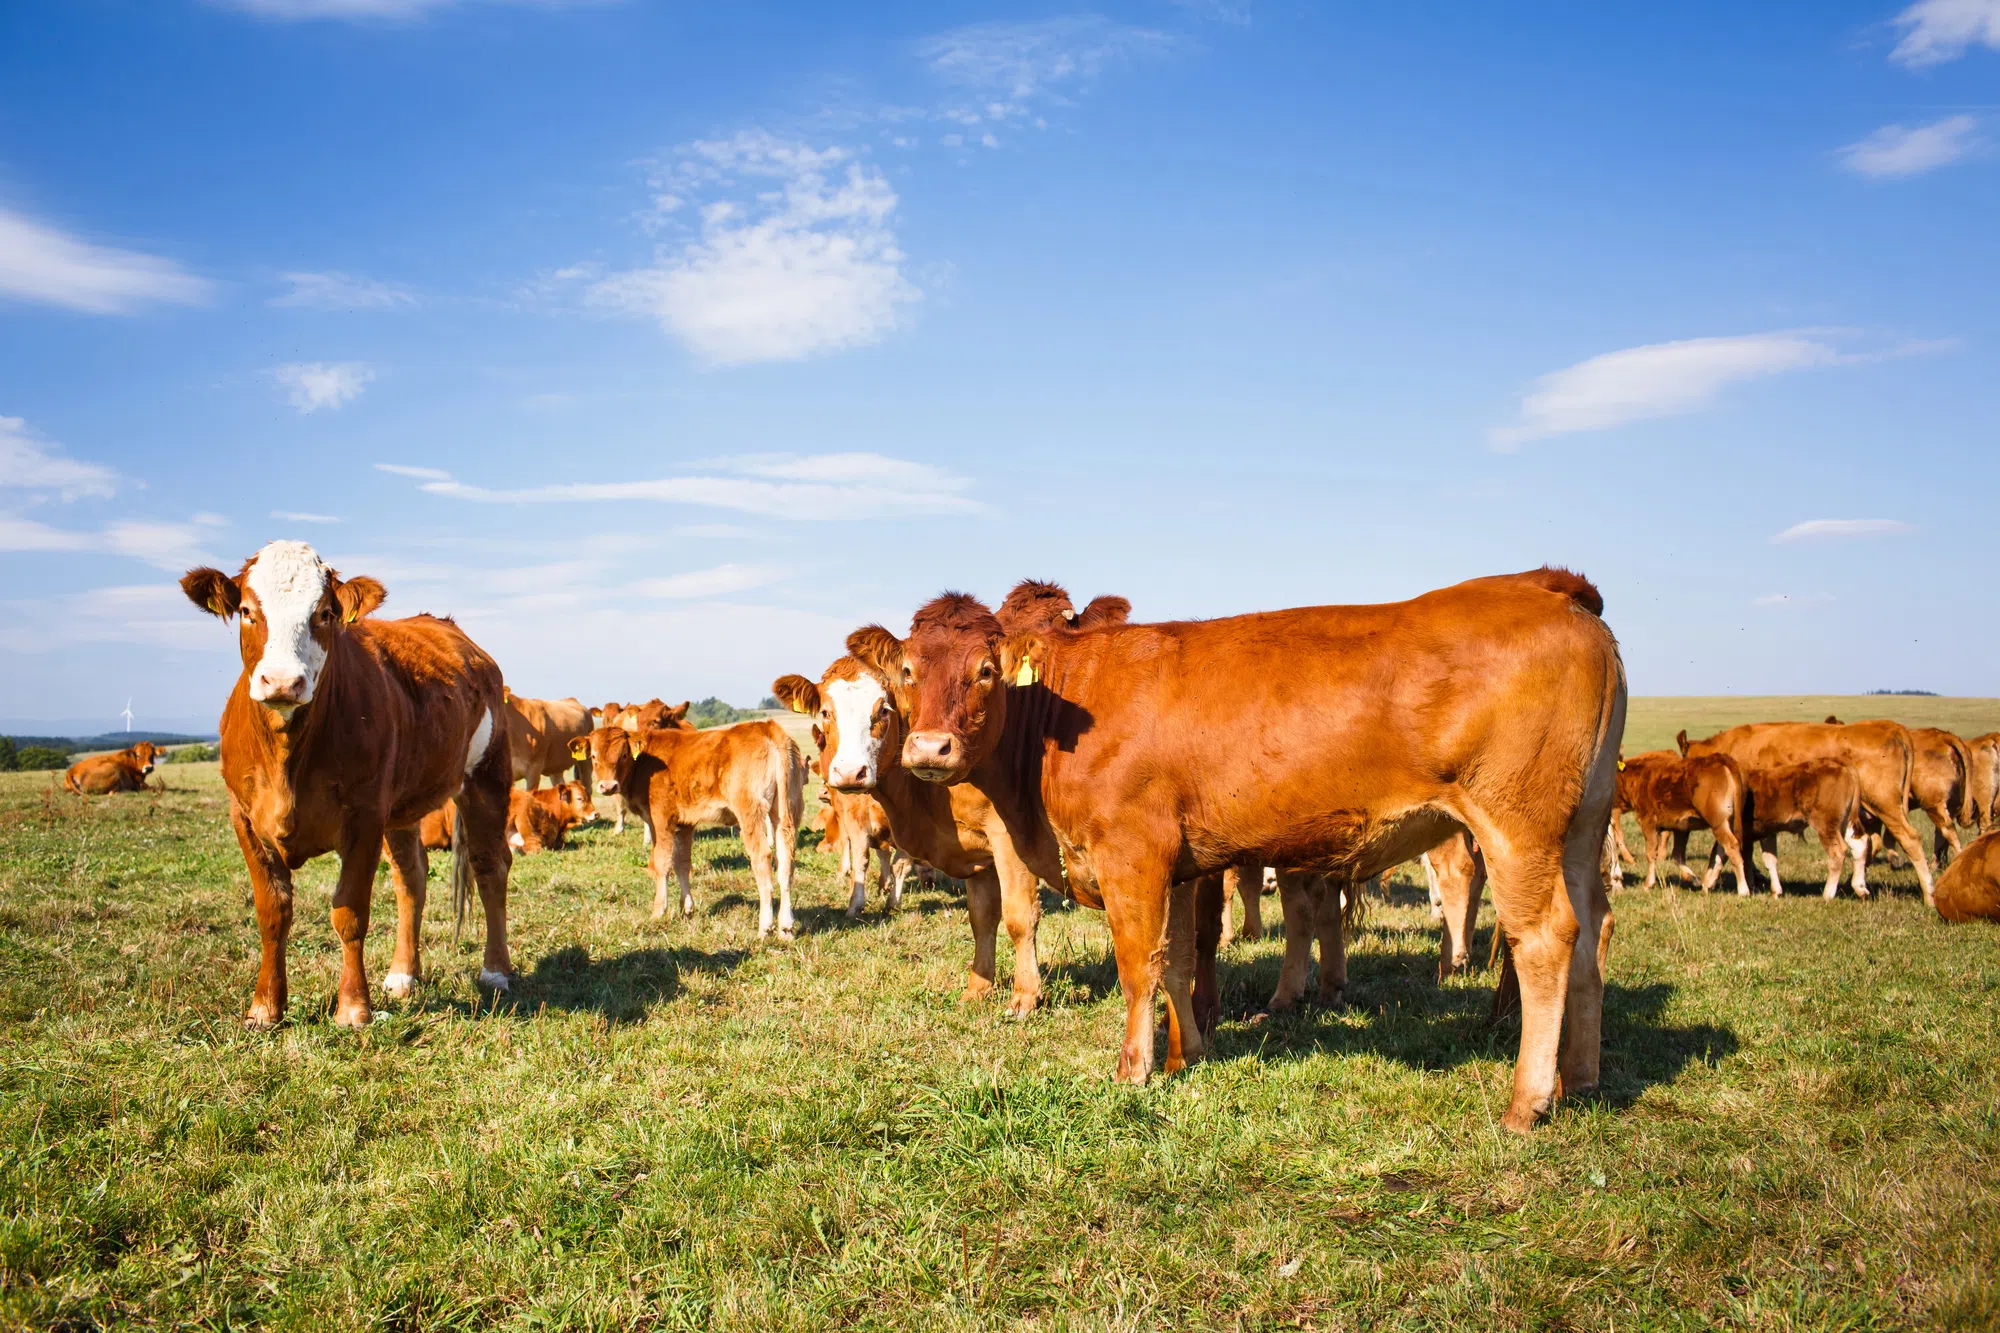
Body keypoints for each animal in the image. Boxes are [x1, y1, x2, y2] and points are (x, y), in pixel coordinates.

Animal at [180, 540, 513, 1028]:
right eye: (245, 610)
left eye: (323, 613)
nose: (282, 681)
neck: (287, 758)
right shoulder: (244, 818)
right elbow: (272, 912)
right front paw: (265, 1007)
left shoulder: (364, 816)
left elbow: (349, 912)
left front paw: (354, 1007)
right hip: (403, 805)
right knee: (411, 877)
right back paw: (403, 974)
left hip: (485, 775)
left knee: (490, 865)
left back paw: (495, 970)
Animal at [573, 720, 805, 936]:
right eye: (593, 756)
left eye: (623, 755)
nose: (608, 786)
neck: (645, 763)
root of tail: (767, 727)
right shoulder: (685, 823)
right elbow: (682, 863)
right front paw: (687, 909)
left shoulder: (660, 819)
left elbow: (662, 863)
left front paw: (658, 911)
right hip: (786, 811)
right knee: (785, 860)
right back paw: (786, 928)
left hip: (750, 812)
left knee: (762, 858)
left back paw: (765, 927)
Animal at [850, 567, 1624, 1134]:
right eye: (909, 671)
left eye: (986, 669)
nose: (929, 749)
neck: (1059, 712)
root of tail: (1551, 586)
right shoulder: (1178, 866)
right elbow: (1179, 960)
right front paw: (1188, 1054)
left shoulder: (1132, 854)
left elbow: (1139, 963)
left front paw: (1134, 1068)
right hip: (1581, 826)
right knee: (1591, 929)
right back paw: (1581, 1077)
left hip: (1516, 826)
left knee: (1544, 939)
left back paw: (1527, 1100)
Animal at [1607, 750, 1751, 893]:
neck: (1638, 776)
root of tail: (1720, 759)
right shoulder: (1682, 827)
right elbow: (1677, 856)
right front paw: (1694, 879)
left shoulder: (1648, 823)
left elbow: (1651, 854)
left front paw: (1648, 884)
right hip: (1727, 822)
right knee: (1722, 850)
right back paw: (1709, 882)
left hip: (1718, 823)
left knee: (1731, 847)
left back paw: (1743, 890)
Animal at [1737, 759, 1867, 898]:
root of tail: (1840, 765)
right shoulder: (1766, 832)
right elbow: (1766, 859)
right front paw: (1773, 891)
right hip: (1845, 823)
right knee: (1860, 844)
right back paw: (1861, 889)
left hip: (1826, 825)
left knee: (1838, 852)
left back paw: (1827, 895)